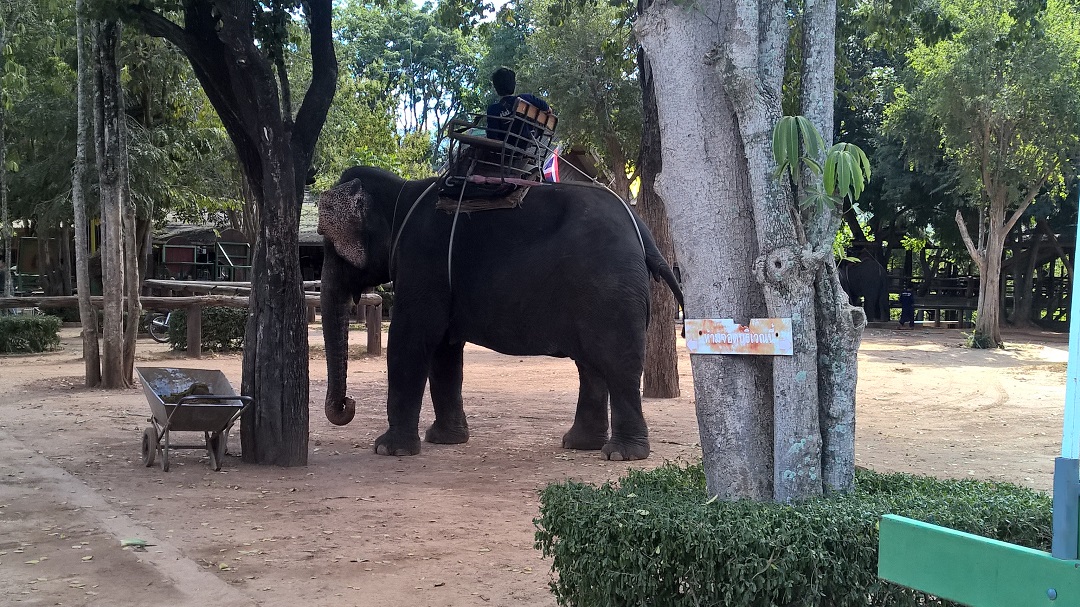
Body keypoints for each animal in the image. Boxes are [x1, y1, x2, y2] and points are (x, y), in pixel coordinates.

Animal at [315, 165, 682, 457]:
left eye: (330, 244)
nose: (348, 404)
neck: (400, 193)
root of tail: (642, 230)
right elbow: (444, 351)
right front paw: (445, 440)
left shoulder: (422, 262)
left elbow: (411, 339)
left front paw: (388, 450)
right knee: (591, 363)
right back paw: (580, 445)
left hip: (610, 287)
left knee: (615, 361)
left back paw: (620, 454)